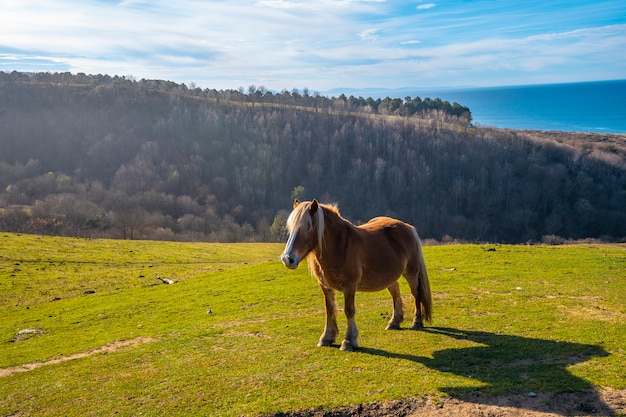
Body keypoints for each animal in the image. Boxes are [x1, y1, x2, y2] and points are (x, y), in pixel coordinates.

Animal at [280, 200, 432, 350]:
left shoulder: (349, 286)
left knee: (416, 294)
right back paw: (394, 322)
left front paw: (349, 341)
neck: (338, 246)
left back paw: (417, 322)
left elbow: (349, 310)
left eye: (308, 227)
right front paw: (327, 337)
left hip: (411, 273)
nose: (287, 259)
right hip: (390, 276)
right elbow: (329, 309)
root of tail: (408, 227)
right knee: (396, 293)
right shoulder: (325, 286)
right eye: (290, 228)